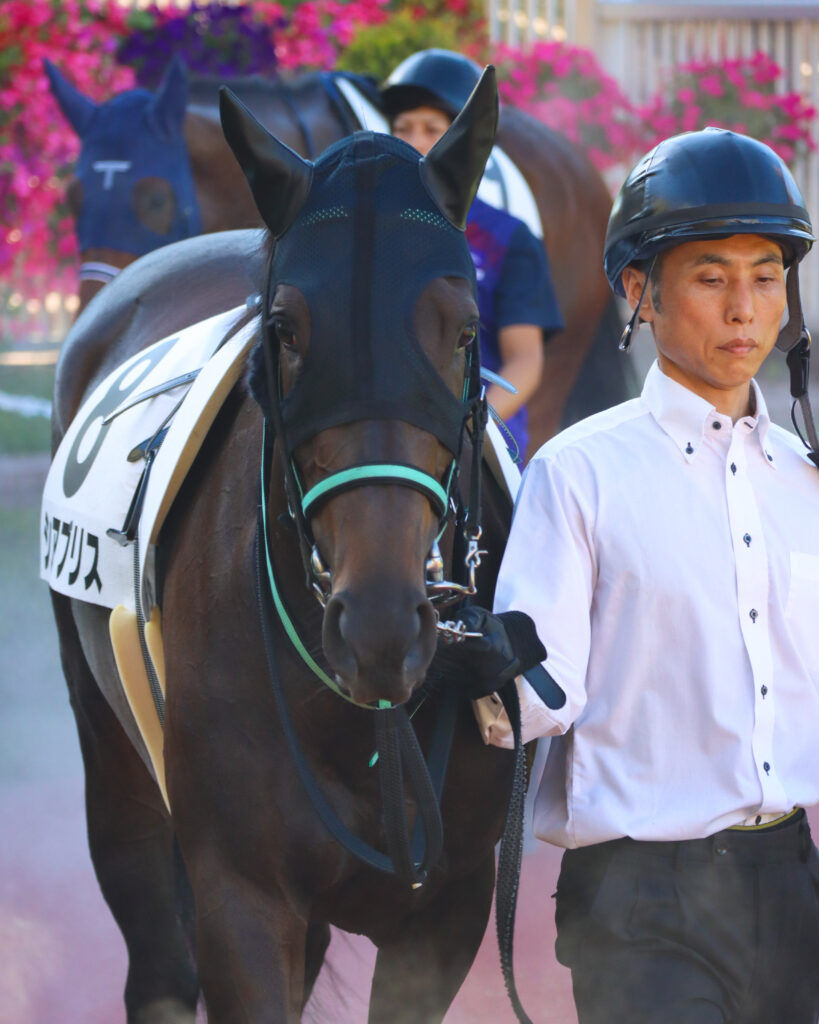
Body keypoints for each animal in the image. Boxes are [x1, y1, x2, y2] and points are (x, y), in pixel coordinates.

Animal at [44, 69, 525, 1023]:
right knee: (156, 962)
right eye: (287, 331)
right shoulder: (241, 894)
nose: (379, 628)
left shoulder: (449, 906)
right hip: (114, 769)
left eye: (463, 332)